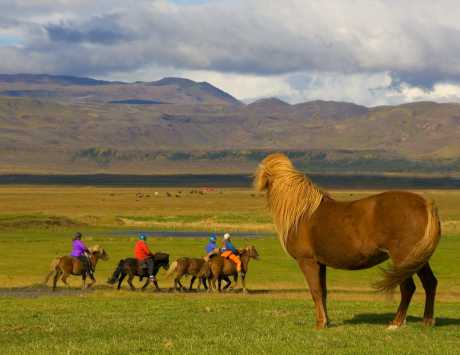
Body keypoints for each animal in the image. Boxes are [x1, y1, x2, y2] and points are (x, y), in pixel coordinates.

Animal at [255, 154, 442, 330]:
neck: (302, 213)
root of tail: (424, 204)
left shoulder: (307, 261)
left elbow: (315, 291)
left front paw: (320, 323)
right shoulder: (320, 263)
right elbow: (323, 291)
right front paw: (327, 321)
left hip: (402, 258)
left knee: (408, 288)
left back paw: (395, 323)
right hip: (417, 258)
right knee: (430, 283)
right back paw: (427, 321)